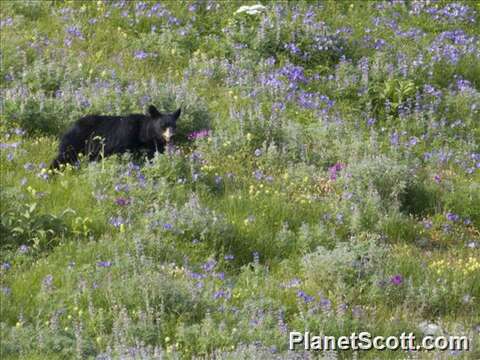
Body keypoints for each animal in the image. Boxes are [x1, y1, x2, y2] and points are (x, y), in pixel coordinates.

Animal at [50, 105, 181, 170]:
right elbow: (121, 152)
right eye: (163, 125)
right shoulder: (126, 135)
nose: (172, 136)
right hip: (77, 140)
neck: (144, 134)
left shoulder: (154, 147)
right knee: (65, 156)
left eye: (174, 126)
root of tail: (71, 125)